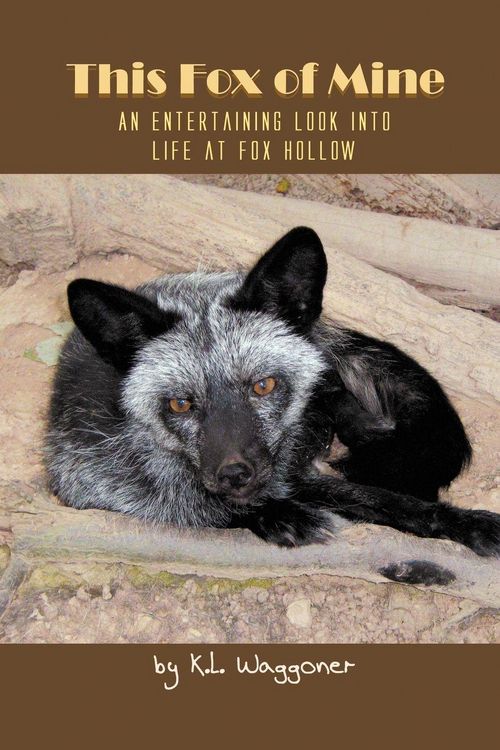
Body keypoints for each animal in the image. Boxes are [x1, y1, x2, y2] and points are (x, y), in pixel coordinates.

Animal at [46, 227, 500, 568]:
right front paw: (278, 516)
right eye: (180, 404)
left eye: (263, 386)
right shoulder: (83, 486)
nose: (235, 473)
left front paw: (467, 523)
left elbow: (391, 502)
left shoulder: (296, 476)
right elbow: (206, 512)